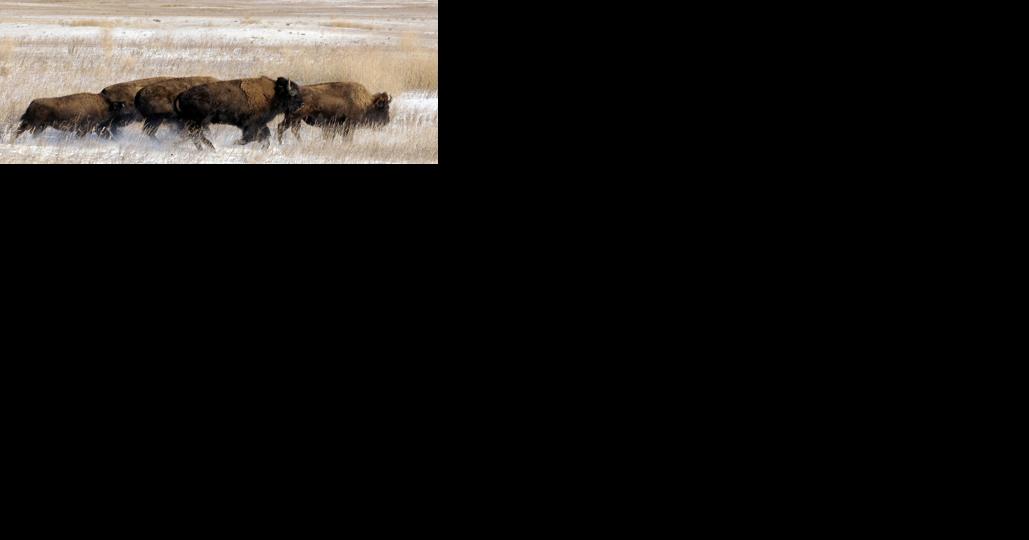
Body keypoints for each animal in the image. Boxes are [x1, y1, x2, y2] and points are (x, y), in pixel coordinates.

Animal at [174, 76, 303, 150]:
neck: (274, 94)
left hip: (197, 123)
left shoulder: (260, 124)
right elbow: (251, 137)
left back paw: (209, 147)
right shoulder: (251, 125)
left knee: (196, 135)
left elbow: (265, 136)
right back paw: (210, 147)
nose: (301, 104)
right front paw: (235, 142)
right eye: (294, 95)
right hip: (197, 122)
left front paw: (264, 147)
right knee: (195, 135)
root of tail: (182, 94)